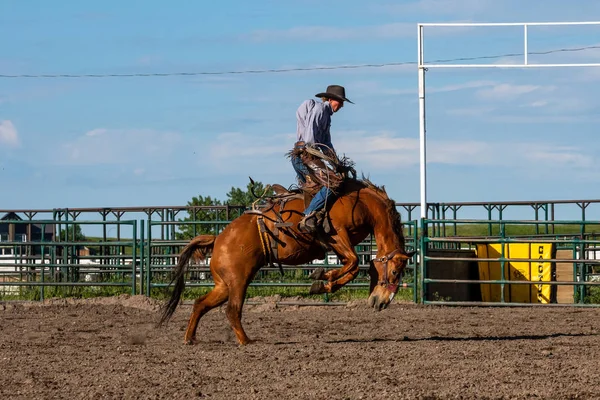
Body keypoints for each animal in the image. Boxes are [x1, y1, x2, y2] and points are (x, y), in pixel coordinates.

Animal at [158, 180, 412, 346]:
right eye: (395, 272)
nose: (382, 303)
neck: (361, 202)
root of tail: (218, 238)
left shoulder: (340, 244)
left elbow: (352, 266)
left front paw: (324, 281)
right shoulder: (336, 234)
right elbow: (354, 263)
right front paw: (322, 279)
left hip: (224, 285)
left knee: (200, 304)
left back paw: (190, 338)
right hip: (238, 281)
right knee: (232, 309)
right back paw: (246, 341)